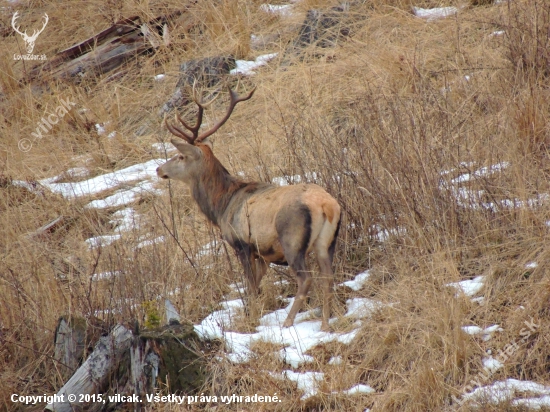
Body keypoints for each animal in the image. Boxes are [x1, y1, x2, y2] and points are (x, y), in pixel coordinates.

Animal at [155, 87, 342, 332]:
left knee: (306, 279)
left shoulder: (241, 244)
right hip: (327, 242)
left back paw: (288, 322)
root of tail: (326, 205)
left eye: (180, 156)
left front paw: (251, 321)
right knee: (328, 277)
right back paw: (325, 325)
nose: (159, 169)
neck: (221, 206)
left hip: (292, 239)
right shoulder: (262, 254)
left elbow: (251, 287)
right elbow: (257, 283)